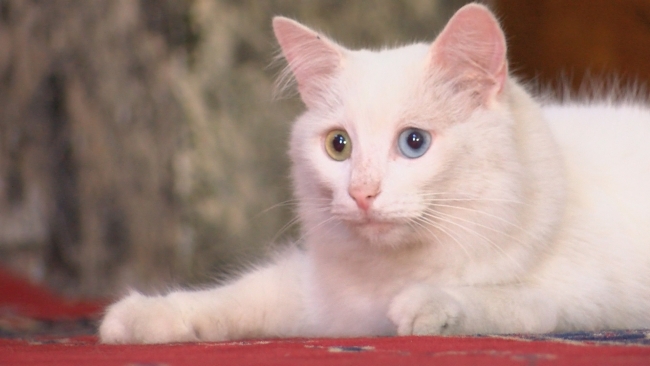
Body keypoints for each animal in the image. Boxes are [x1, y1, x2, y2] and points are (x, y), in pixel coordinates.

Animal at [97, 3, 648, 344]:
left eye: (414, 143)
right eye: (338, 146)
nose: (362, 193)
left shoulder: (586, 302)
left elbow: (509, 302)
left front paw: (429, 307)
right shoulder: (321, 296)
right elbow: (237, 295)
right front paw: (143, 317)